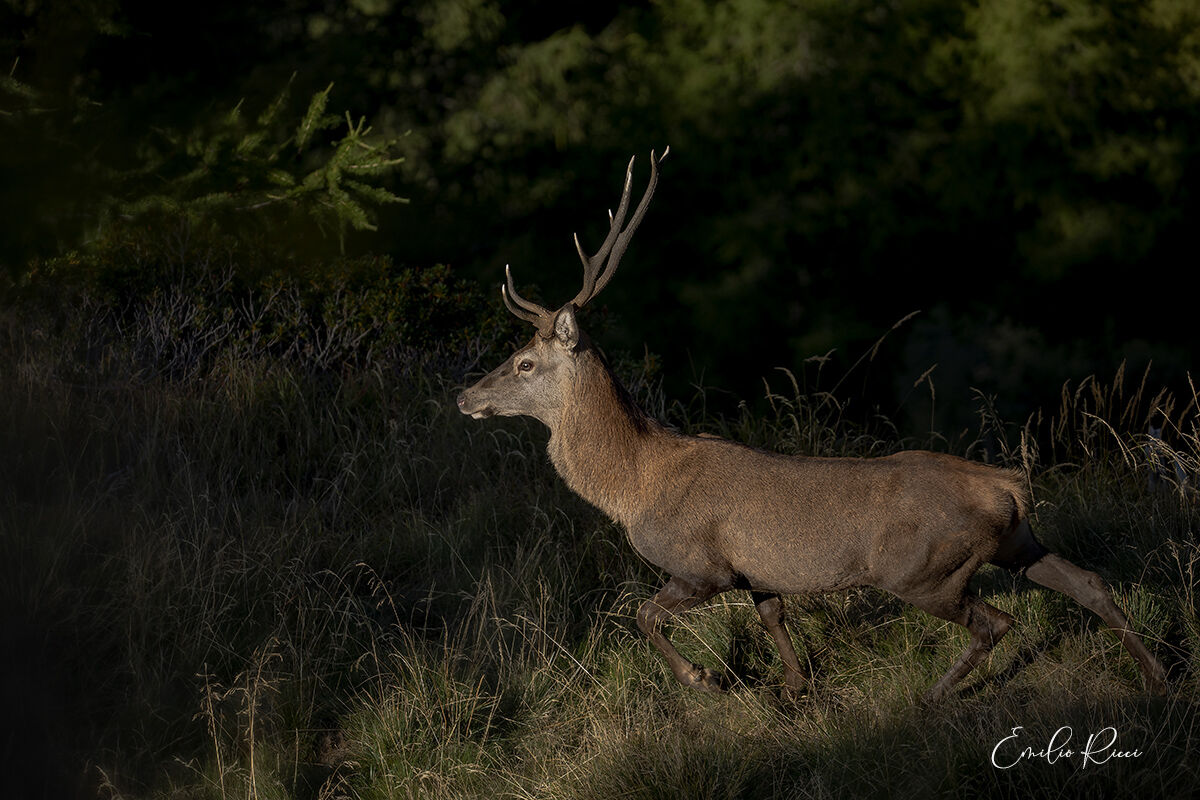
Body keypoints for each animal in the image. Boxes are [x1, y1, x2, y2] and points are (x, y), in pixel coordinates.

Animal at [456, 150, 1169, 702]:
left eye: (523, 362)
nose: (465, 397)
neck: (633, 487)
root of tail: (1010, 488)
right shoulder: (758, 573)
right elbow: (773, 621)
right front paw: (796, 685)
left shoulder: (700, 566)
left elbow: (643, 614)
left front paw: (705, 680)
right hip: (1016, 542)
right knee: (1090, 584)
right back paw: (1158, 677)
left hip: (922, 570)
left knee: (994, 623)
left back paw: (933, 697)